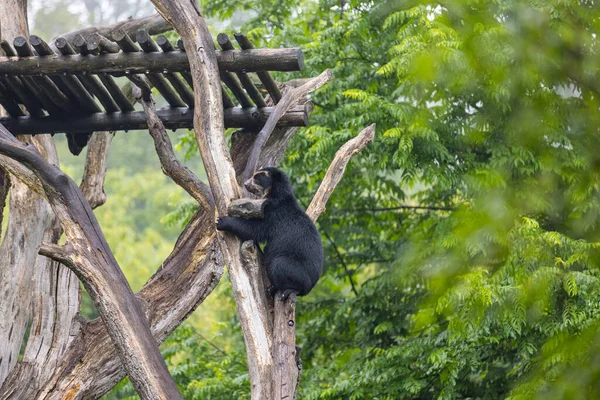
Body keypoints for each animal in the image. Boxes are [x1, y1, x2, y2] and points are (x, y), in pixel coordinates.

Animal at [217, 167, 324, 298]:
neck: (275, 194)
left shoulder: (272, 213)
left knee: (280, 266)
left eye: (257, 177)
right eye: (253, 175)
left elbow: (253, 229)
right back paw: (272, 288)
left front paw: (222, 221)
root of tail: (310, 287)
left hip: (296, 270)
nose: (246, 184)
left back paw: (287, 290)